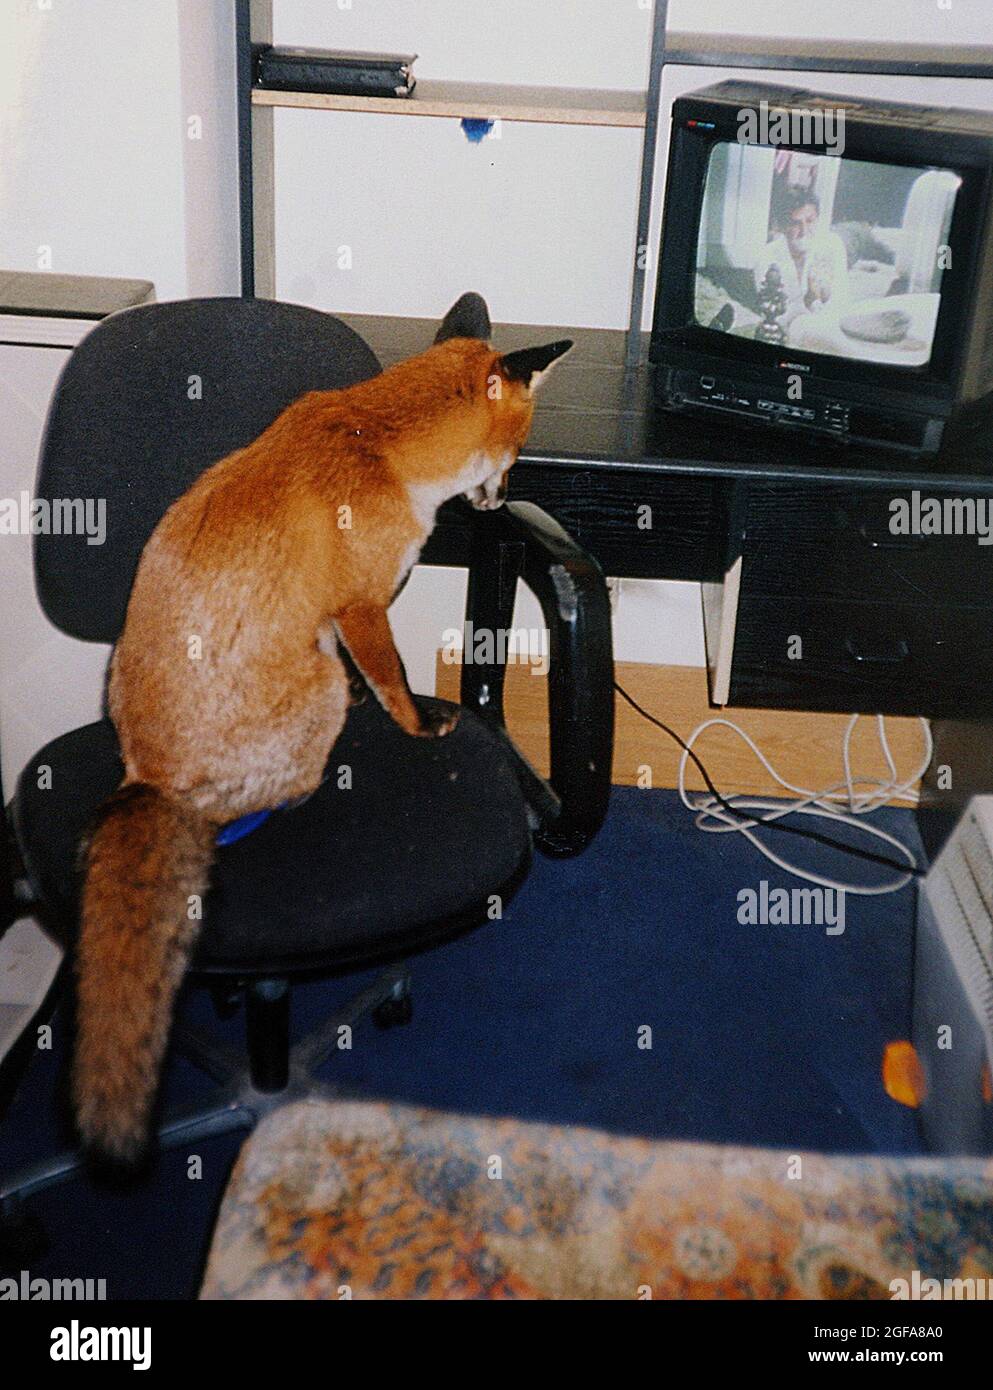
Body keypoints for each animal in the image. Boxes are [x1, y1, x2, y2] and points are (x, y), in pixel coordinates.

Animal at [72, 294, 572, 1167]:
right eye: (514, 450)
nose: (499, 501)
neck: (382, 445)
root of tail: (147, 779)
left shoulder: (338, 621)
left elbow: (378, 682)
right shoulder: (361, 606)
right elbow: (393, 679)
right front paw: (419, 725)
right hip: (317, 682)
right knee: (253, 802)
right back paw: (283, 800)